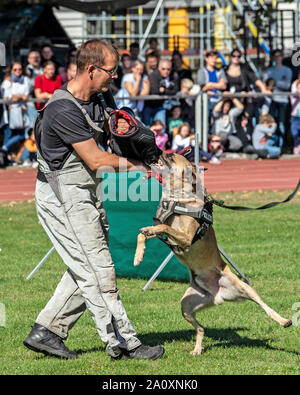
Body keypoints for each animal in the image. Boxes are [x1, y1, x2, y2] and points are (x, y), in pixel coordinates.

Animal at [134, 153, 290, 358]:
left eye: (172, 156)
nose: (160, 152)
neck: (177, 200)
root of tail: (219, 295)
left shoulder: (186, 238)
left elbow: (163, 227)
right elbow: (144, 233)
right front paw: (138, 257)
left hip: (245, 287)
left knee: (265, 306)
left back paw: (284, 321)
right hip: (187, 305)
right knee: (201, 328)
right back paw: (197, 349)